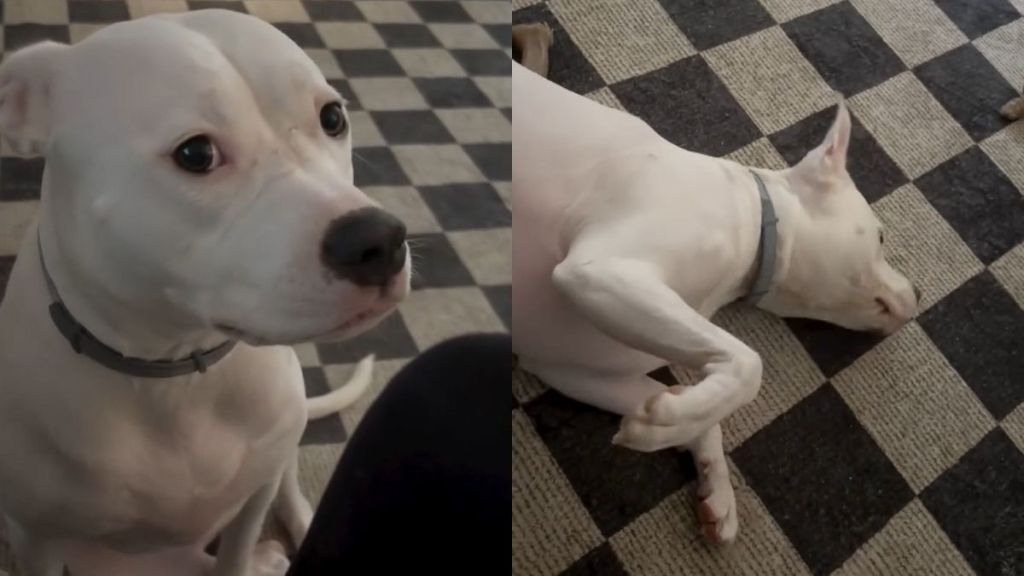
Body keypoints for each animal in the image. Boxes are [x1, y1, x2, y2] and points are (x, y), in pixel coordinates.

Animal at [0, 10, 410, 576]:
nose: (379, 240)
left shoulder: (252, 498)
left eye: (332, 117)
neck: (172, 373)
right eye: (196, 153)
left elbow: (238, 548)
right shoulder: (38, 538)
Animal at [512, 59, 920, 543]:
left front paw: (704, 472)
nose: (919, 295)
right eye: (881, 237)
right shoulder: (601, 270)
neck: (757, 226)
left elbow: (701, 418)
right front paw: (665, 424)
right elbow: (747, 364)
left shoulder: (573, 369)